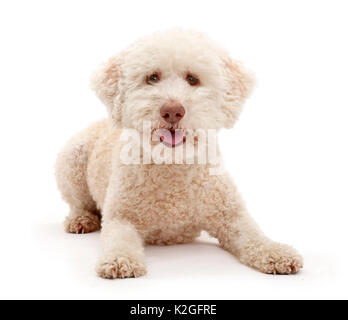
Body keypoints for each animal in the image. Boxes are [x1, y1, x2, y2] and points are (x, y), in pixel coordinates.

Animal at [54, 30, 302, 280]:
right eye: (152, 77)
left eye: (192, 79)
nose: (172, 111)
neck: (172, 164)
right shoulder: (120, 216)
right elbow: (118, 239)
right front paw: (119, 260)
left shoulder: (231, 215)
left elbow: (254, 235)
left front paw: (276, 252)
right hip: (72, 159)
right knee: (78, 202)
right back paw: (81, 219)